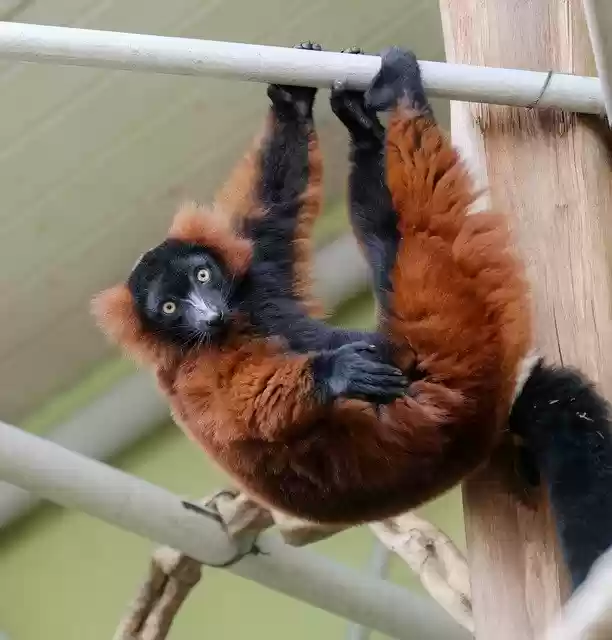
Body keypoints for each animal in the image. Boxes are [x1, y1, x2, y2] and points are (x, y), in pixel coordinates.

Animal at [92, 44, 612, 590]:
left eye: (202, 276)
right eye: (170, 308)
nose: (209, 314)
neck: (237, 319)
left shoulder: (255, 275)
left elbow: (278, 201)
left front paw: (293, 101)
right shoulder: (194, 370)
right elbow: (247, 405)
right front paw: (334, 373)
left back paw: (363, 125)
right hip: (452, 366)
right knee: (431, 232)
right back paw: (403, 98)